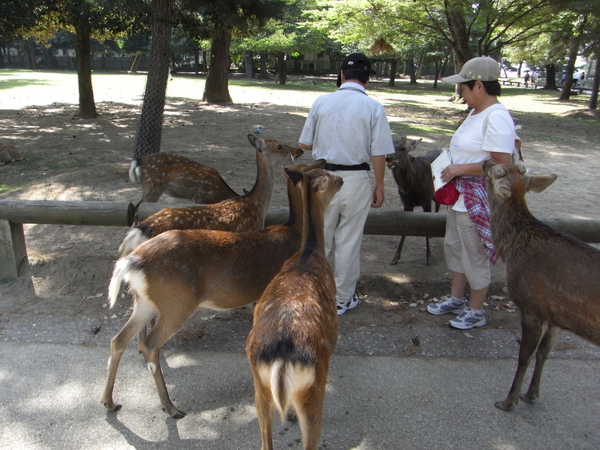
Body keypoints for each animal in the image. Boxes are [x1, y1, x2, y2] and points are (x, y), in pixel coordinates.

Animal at [103, 160, 328, 416]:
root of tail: (131, 261)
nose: (324, 161)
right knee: (149, 344)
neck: (295, 232)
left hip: (145, 301)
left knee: (118, 340)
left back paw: (109, 401)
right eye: (308, 167)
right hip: (176, 302)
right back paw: (170, 406)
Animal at [245, 166, 342, 450]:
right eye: (332, 177)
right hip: (313, 390)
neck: (309, 253)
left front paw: (286, 413)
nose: (343, 179)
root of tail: (282, 357)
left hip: (259, 387)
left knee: (265, 440)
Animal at [384, 135, 440, 266]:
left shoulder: (426, 201)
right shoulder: (407, 203)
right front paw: (395, 258)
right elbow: (404, 229)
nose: (388, 157)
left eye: (403, 148)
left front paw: (428, 258)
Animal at [482, 161, 600, 412]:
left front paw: (508, 401)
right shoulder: (554, 315)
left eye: (497, 170)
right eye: (505, 166)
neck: (512, 251)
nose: (486, 162)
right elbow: (545, 352)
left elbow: (524, 355)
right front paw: (531, 394)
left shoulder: (533, 306)